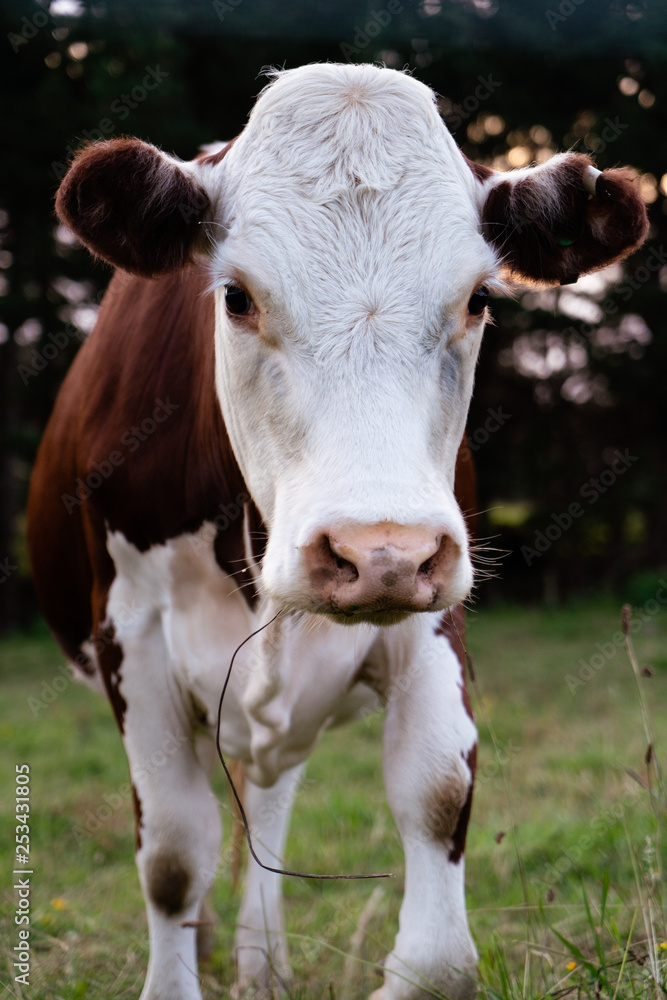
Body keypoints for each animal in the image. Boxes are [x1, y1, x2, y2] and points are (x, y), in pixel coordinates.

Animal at [28, 62, 648, 1000]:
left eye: (478, 298)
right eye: (235, 295)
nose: (377, 554)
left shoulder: (434, 613)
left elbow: (436, 818)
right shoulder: (129, 630)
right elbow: (172, 854)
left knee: (269, 802)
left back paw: (261, 963)